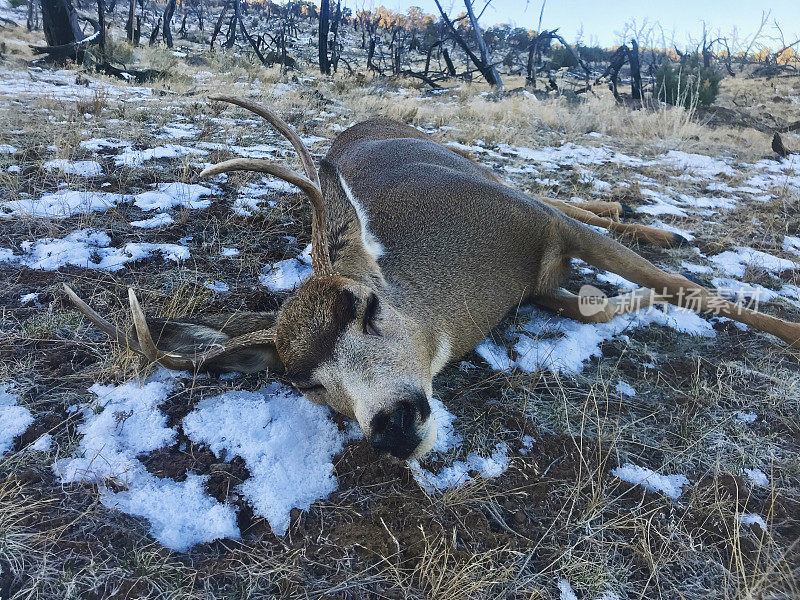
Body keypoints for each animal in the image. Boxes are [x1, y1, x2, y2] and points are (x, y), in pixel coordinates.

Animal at [62, 96, 800, 460]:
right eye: (305, 383)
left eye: (365, 306)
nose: (389, 427)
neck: (481, 287)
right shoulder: (540, 284)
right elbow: (596, 307)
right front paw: (618, 291)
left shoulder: (534, 223)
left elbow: (692, 289)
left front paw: (787, 329)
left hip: (472, 162)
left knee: (554, 193)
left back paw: (652, 222)